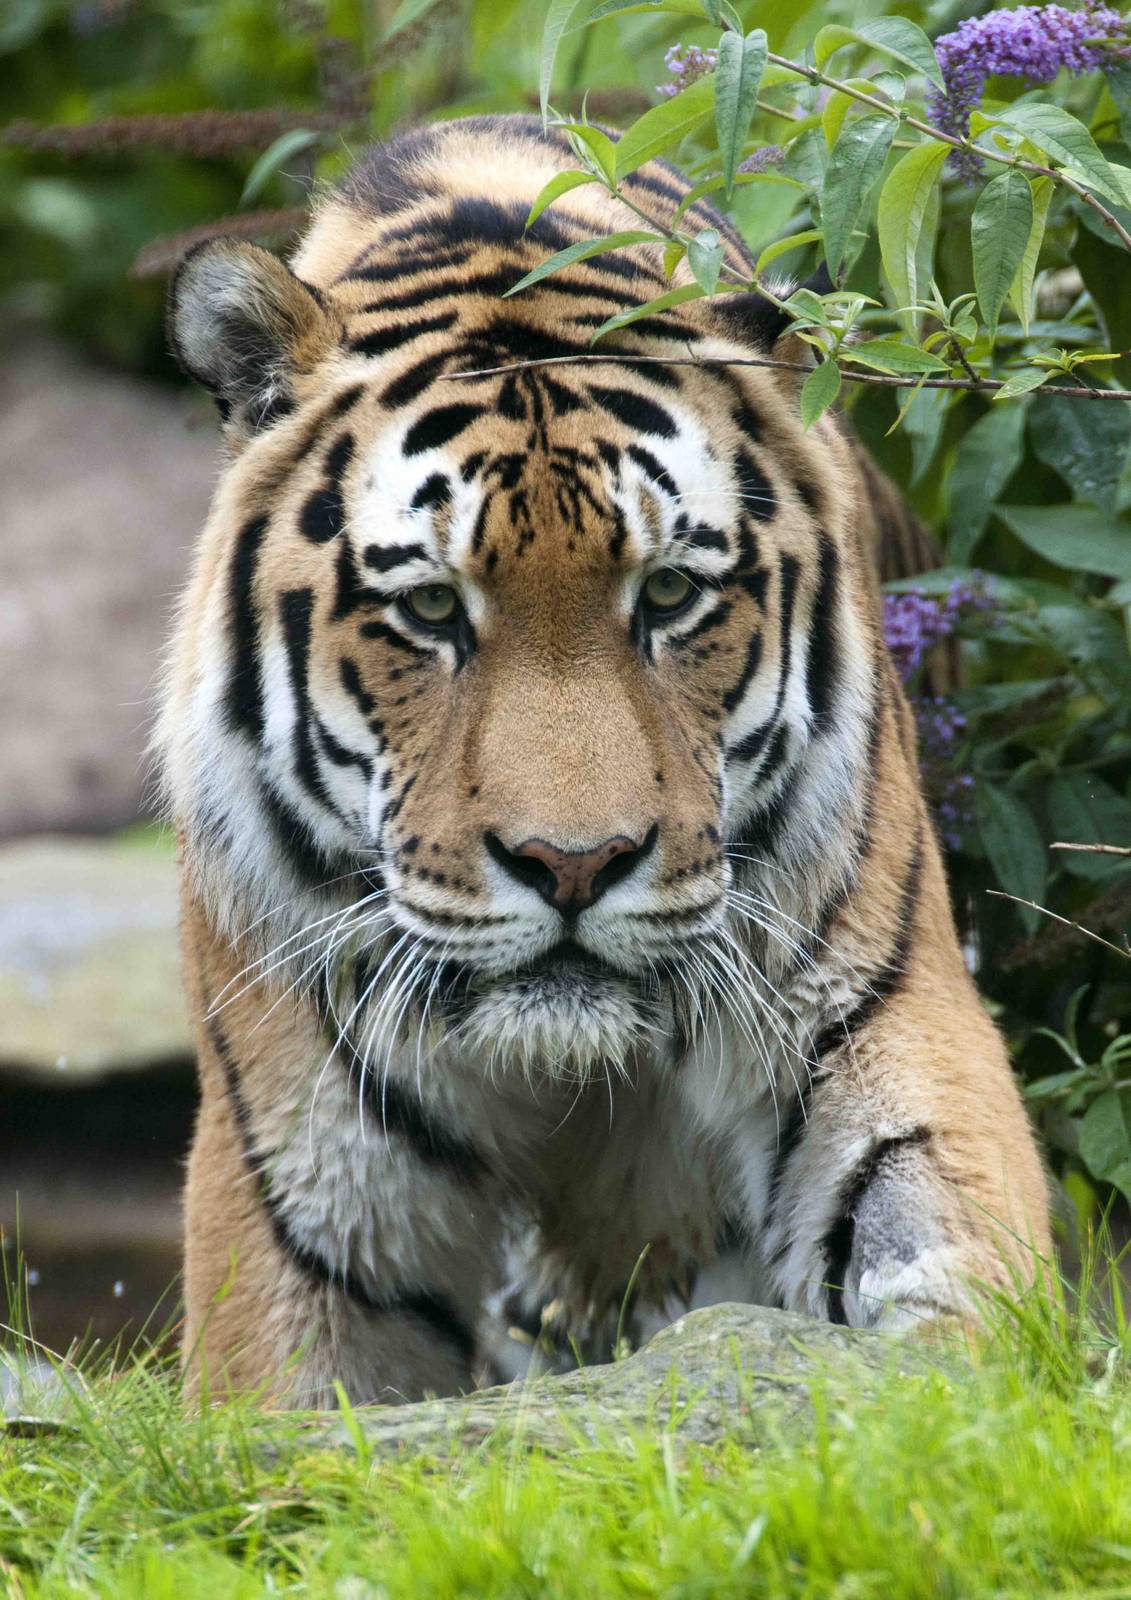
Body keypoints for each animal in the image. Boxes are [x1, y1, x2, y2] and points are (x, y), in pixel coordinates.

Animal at [160, 113, 1050, 1405]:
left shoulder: (884, 1025)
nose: (572, 865)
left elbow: (955, 1280)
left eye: (669, 594)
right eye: (430, 608)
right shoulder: (296, 1190)